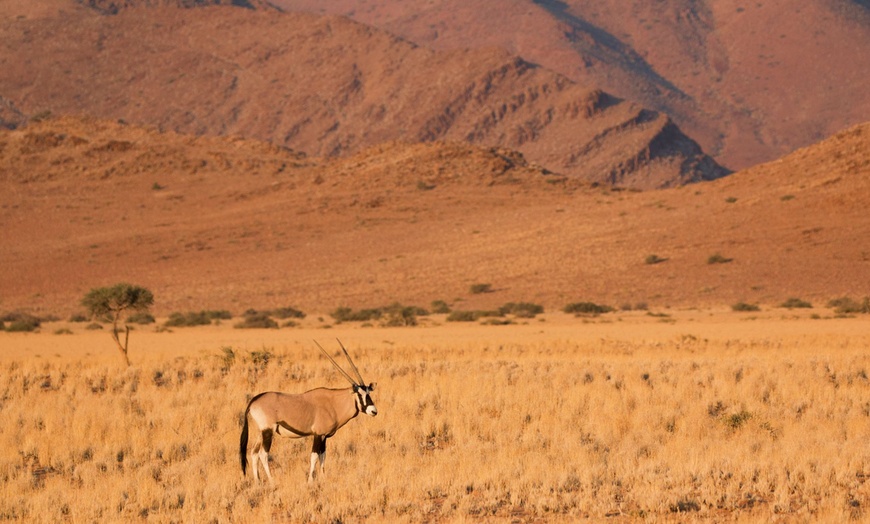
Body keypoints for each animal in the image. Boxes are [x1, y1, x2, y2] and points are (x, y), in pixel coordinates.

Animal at [238, 340, 378, 484]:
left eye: (369, 393)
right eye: (360, 394)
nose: (374, 411)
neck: (334, 403)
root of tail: (253, 401)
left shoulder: (324, 436)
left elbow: (323, 456)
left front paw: (323, 477)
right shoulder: (318, 434)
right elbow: (314, 456)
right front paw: (310, 480)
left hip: (260, 432)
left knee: (254, 453)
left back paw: (258, 481)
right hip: (268, 431)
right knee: (263, 454)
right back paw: (272, 481)